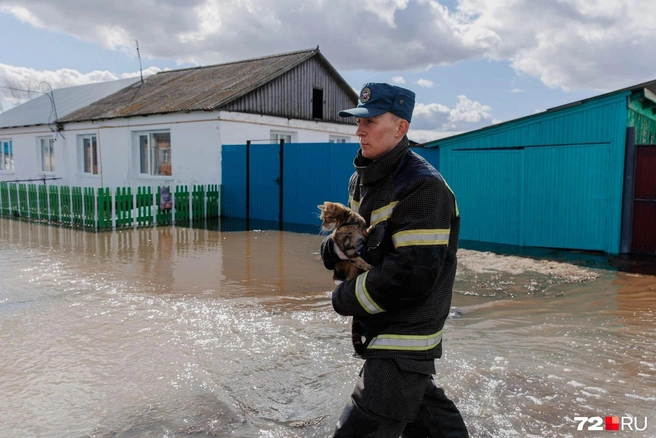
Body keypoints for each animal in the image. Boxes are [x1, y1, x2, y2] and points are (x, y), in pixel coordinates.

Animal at [318, 202, 374, 356]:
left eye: (326, 218)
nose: (322, 225)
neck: (349, 223)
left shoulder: (360, 230)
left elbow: (365, 231)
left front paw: (370, 229)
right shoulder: (347, 249)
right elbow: (358, 260)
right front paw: (369, 266)